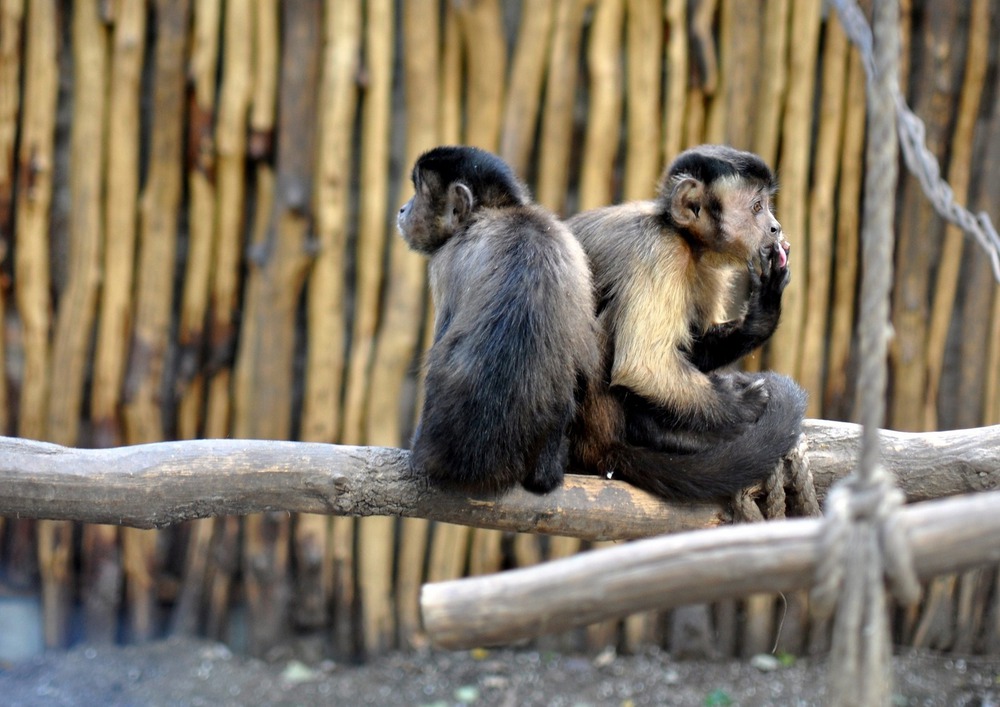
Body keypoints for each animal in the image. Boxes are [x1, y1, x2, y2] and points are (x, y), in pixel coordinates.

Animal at [568, 144, 808, 500]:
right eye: (757, 207)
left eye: (767, 206)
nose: (775, 227)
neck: (682, 237)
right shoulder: (661, 251)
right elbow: (642, 366)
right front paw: (742, 405)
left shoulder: (705, 266)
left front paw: (763, 312)